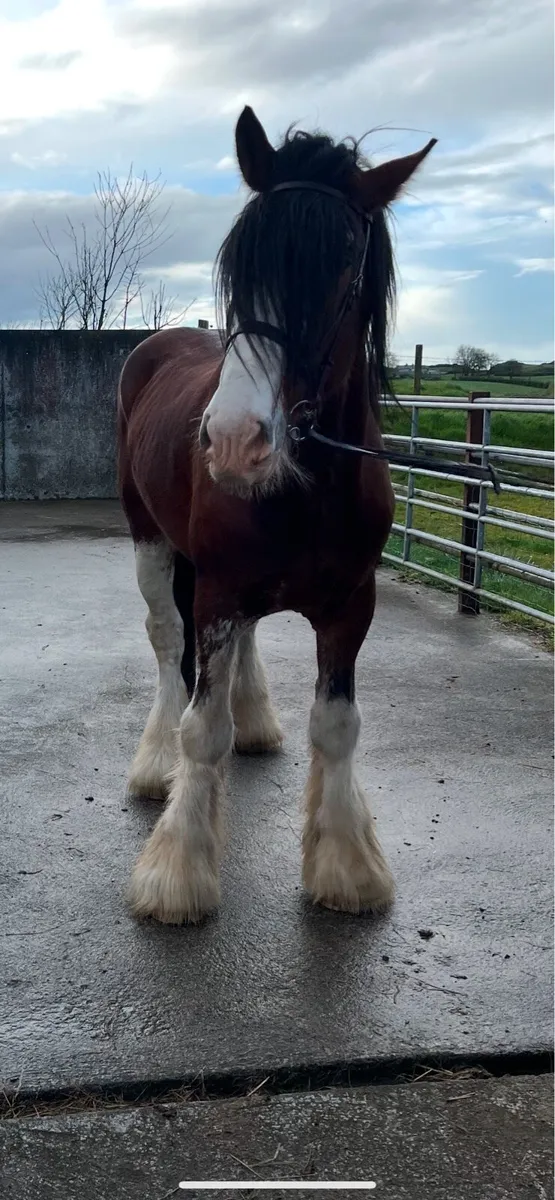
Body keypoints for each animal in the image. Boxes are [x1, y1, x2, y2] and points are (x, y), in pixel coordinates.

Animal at [117, 106, 436, 925]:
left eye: (345, 266)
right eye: (241, 261)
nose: (234, 440)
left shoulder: (352, 604)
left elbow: (337, 723)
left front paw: (346, 865)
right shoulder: (217, 592)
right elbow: (202, 731)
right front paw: (178, 871)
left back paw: (255, 718)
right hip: (150, 539)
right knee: (166, 641)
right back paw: (155, 761)